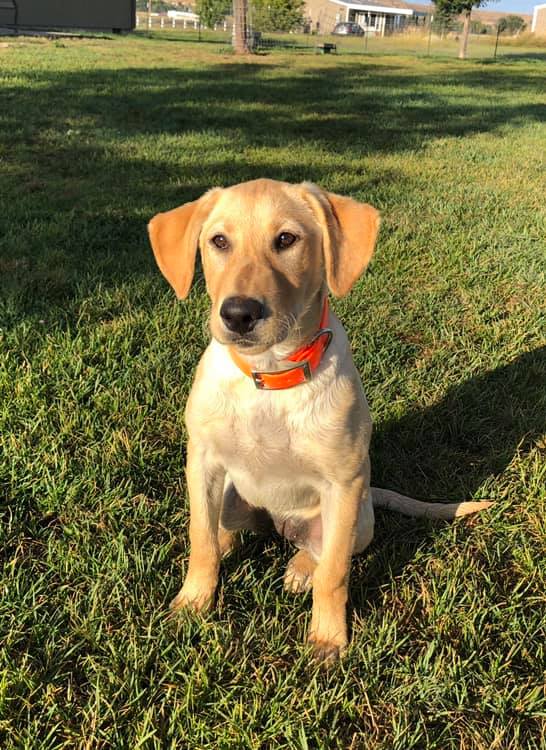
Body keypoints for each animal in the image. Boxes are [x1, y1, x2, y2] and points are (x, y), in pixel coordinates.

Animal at [147, 181, 490, 664]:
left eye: (286, 240)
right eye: (219, 242)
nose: (238, 314)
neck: (270, 377)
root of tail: (278, 524)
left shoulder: (343, 483)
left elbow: (335, 574)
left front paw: (328, 639)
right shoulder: (203, 461)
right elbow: (201, 539)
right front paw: (194, 602)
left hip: (356, 517)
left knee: (322, 551)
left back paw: (300, 568)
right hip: (231, 493)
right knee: (221, 528)